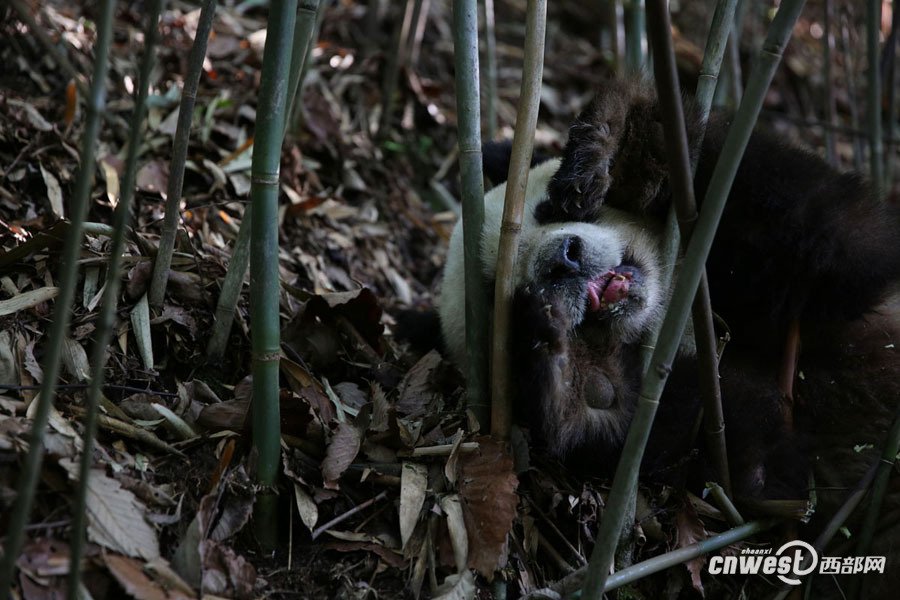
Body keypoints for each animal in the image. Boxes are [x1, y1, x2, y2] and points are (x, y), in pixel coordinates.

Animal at [438, 79, 900, 597]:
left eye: (543, 210)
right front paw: (576, 381)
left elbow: (829, 236)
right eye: (504, 297)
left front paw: (611, 150)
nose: (564, 259)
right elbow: (746, 468)